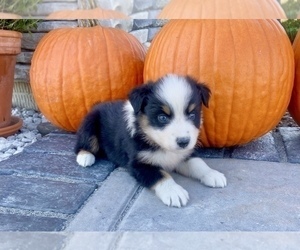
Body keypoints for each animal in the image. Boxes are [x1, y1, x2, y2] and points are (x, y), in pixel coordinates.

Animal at [75, 74, 227, 207]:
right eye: (162, 118)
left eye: (192, 115)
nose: (183, 142)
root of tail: (98, 105)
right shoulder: (138, 163)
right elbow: (160, 174)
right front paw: (174, 192)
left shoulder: (183, 154)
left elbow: (198, 163)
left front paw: (212, 174)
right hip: (90, 124)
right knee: (81, 144)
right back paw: (85, 157)